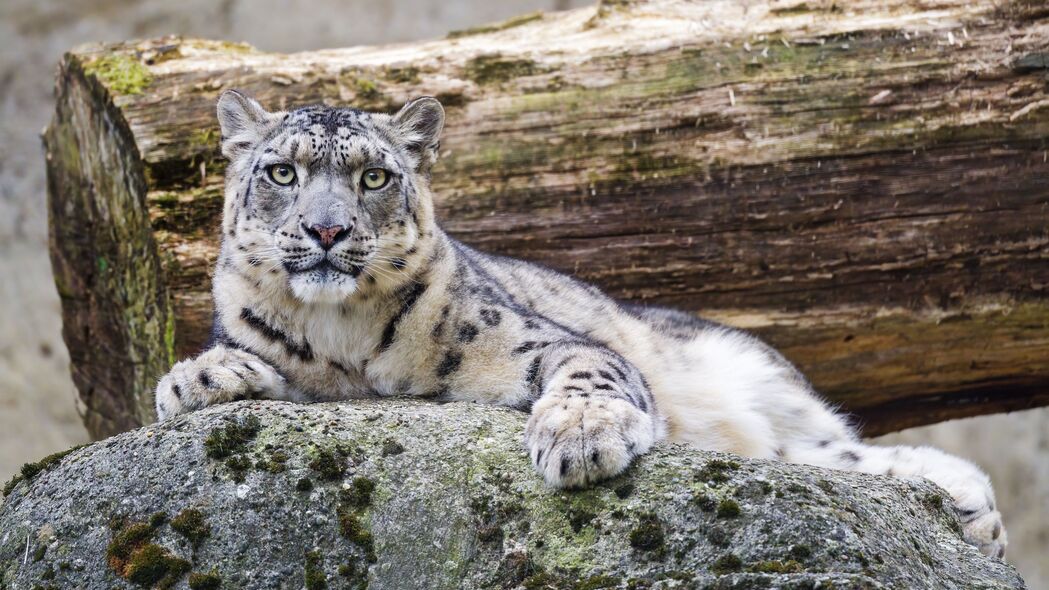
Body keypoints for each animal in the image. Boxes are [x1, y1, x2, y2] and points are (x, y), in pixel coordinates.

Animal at [155, 90, 1007, 554]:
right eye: (281, 171)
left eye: (372, 177)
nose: (328, 230)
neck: (345, 338)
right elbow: (231, 365)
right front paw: (202, 377)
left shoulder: (536, 341)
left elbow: (589, 370)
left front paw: (581, 438)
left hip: (754, 375)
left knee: (822, 448)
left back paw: (970, 507)